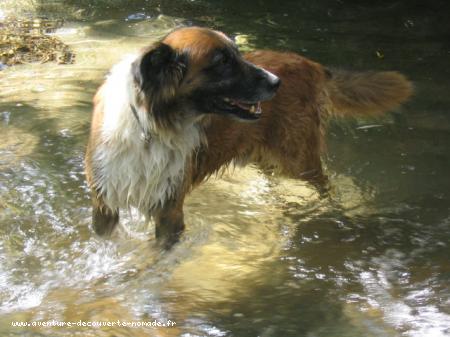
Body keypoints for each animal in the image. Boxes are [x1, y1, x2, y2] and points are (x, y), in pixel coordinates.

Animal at [84, 26, 414, 245]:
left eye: (237, 55)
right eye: (222, 62)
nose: (276, 82)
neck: (151, 127)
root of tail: (312, 64)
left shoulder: (170, 210)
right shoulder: (105, 205)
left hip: (299, 160)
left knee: (324, 186)